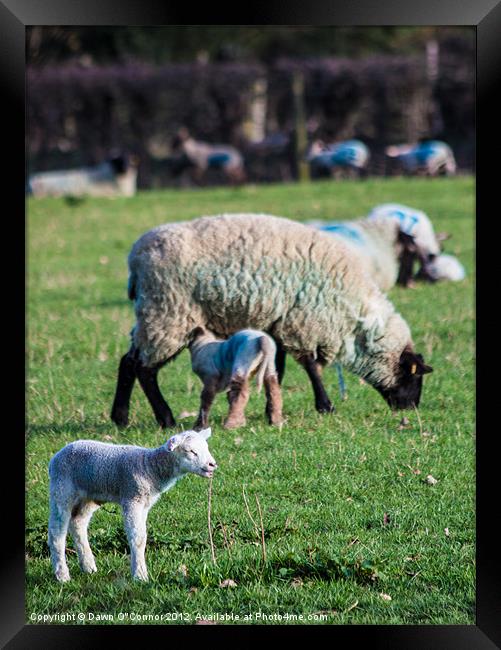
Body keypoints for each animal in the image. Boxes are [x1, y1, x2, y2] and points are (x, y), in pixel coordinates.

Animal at [47, 426, 217, 584]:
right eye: (191, 451)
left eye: (206, 447)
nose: (212, 464)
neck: (150, 467)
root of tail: (56, 456)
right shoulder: (132, 499)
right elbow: (137, 537)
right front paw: (140, 576)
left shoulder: (145, 505)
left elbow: (143, 536)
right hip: (61, 490)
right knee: (57, 532)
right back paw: (62, 575)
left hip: (88, 497)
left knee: (78, 523)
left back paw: (88, 567)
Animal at [111, 211, 432, 430]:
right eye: (415, 375)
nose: (411, 408)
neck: (352, 315)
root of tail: (136, 258)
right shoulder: (301, 321)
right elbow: (311, 367)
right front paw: (325, 405)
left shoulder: (278, 325)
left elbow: (279, 369)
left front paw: (270, 410)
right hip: (168, 312)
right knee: (145, 369)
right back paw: (165, 418)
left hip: (153, 314)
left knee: (128, 361)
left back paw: (120, 417)